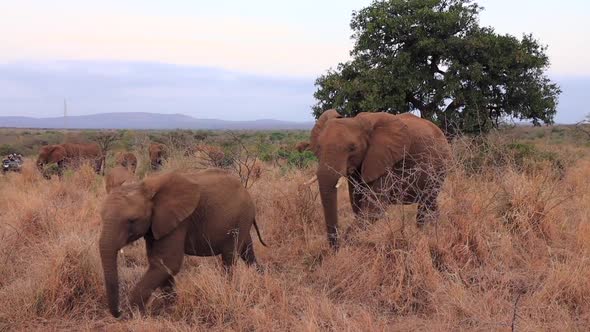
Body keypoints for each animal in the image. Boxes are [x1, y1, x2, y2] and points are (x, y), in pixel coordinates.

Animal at [100, 170, 268, 318]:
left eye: (132, 220)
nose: (118, 312)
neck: (146, 187)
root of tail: (246, 192)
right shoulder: (157, 225)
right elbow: (159, 263)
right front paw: (169, 308)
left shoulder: (178, 221)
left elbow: (168, 263)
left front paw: (133, 315)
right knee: (247, 253)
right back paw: (261, 278)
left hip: (240, 218)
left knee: (229, 257)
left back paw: (230, 288)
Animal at [310, 109, 454, 249]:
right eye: (318, 147)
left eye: (352, 148)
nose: (335, 248)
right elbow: (357, 202)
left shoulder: (385, 160)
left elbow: (374, 207)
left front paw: (348, 247)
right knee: (431, 202)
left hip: (440, 166)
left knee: (426, 202)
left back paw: (424, 233)